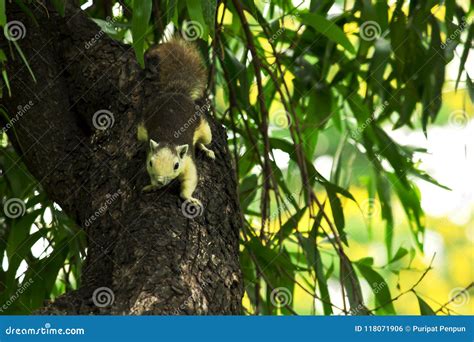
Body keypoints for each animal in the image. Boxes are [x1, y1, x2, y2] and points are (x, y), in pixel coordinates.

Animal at [137, 38, 215, 207]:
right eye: (151, 163)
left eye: (176, 165)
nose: (160, 181)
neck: (168, 139)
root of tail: (176, 93)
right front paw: (152, 186)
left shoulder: (188, 162)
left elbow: (190, 180)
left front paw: (189, 198)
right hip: (141, 129)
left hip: (205, 129)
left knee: (203, 140)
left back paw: (206, 150)